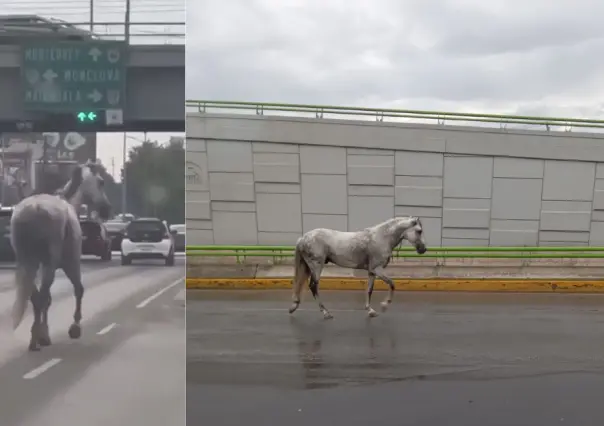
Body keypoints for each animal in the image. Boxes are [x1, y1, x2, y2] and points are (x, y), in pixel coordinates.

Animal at [10, 161, 112, 352]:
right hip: (49, 264)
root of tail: (33, 211)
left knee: (35, 297)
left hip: (27, 262)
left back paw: (36, 337)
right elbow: (78, 290)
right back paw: (37, 339)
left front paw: (46, 333)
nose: (106, 210)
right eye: (101, 182)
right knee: (41, 297)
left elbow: (48, 299)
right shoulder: (71, 264)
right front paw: (75, 328)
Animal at [290, 218, 428, 318]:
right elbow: (392, 284)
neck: (381, 238)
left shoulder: (372, 271)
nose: (423, 249)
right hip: (316, 266)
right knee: (313, 286)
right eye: (419, 231)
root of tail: (303, 238)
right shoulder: (377, 269)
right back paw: (326, 313)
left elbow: (369, 290)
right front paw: (384, 305)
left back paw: (294, 307)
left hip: (308, 267)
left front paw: (370, 311)